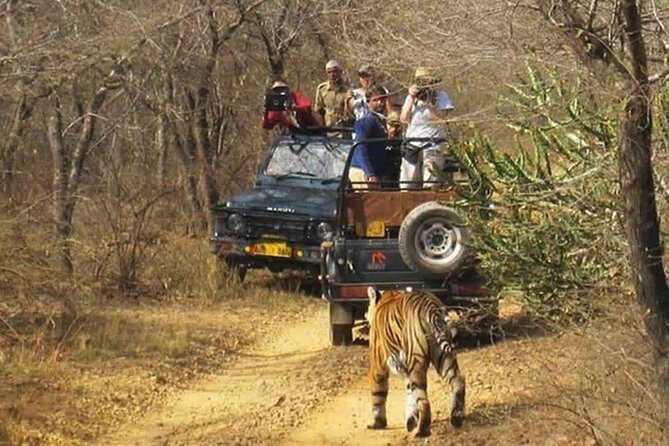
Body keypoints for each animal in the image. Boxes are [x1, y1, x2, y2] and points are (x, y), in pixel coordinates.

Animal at [366, 287, 465, 438]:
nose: (365, 314)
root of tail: (431, 306)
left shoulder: (378, 365)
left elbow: (378, 394)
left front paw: (377, 424)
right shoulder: (406, 368)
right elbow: (410, 393)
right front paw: (411, 421)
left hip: (416, 360)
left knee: (423, 398)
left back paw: (422, 431)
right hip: (443, 356)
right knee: (458, 380)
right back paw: (456, 418)